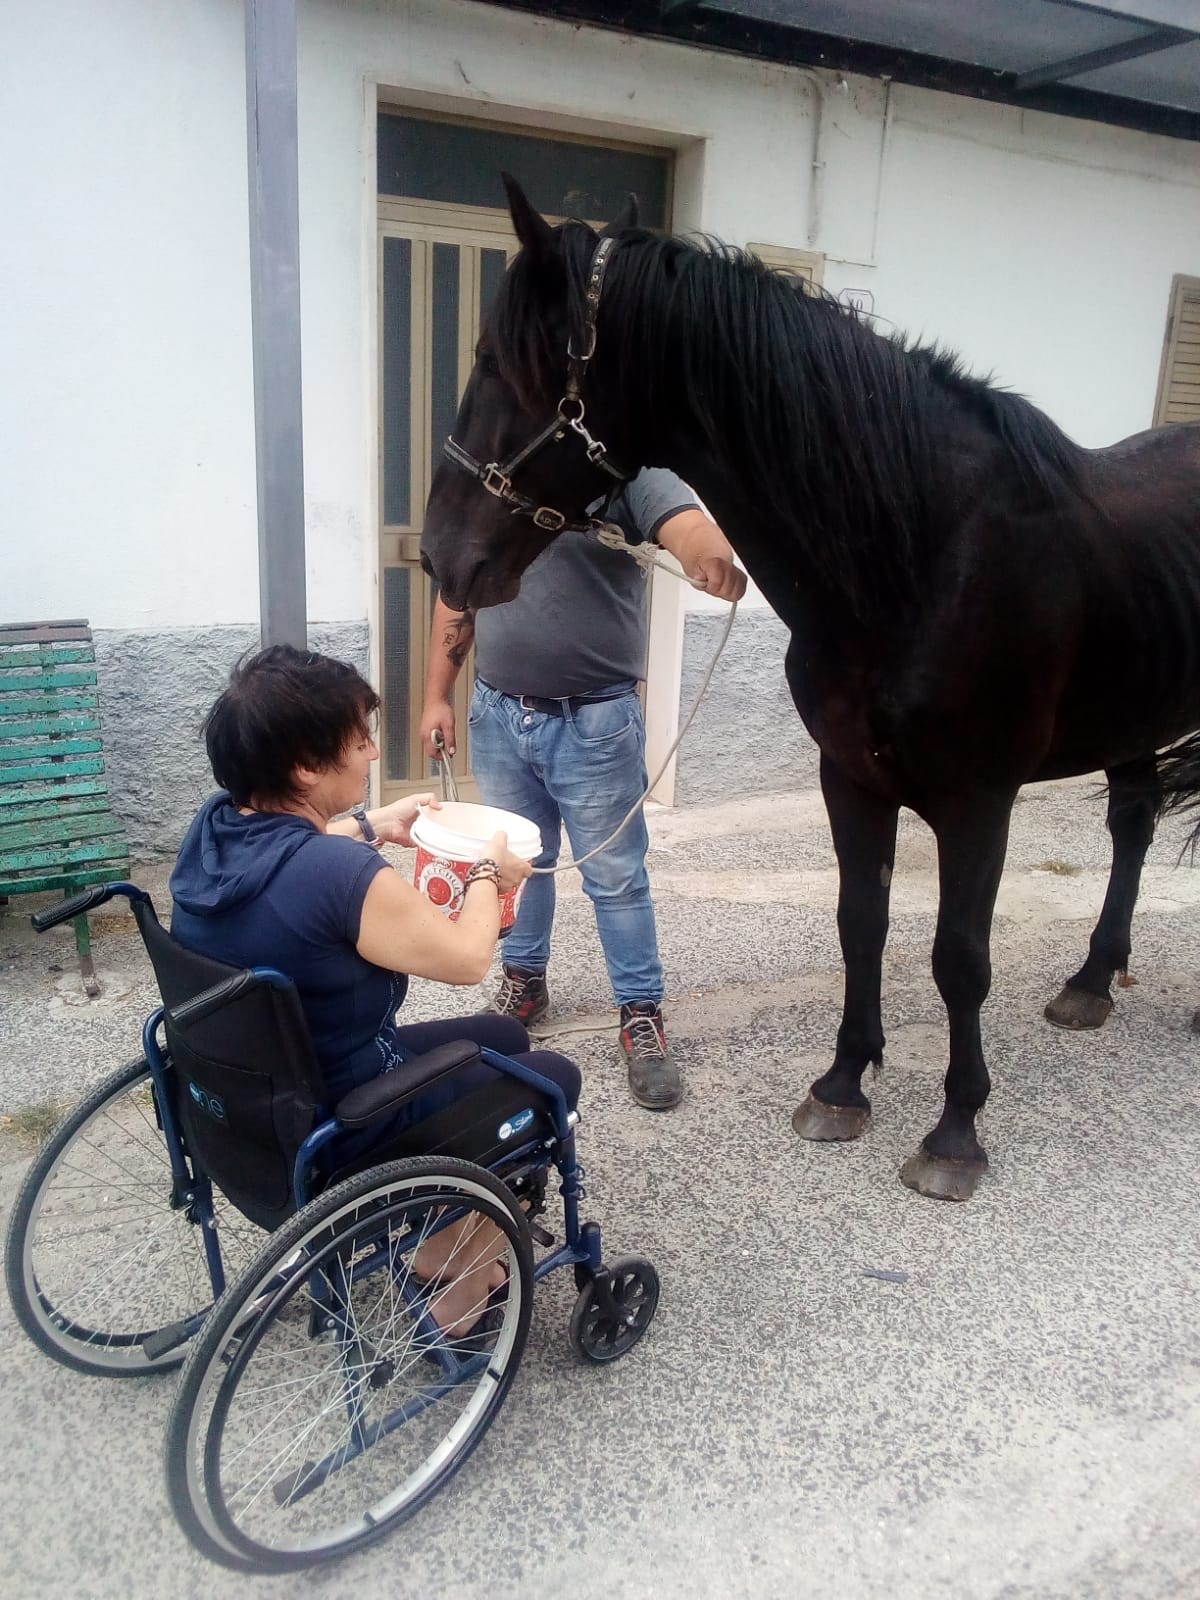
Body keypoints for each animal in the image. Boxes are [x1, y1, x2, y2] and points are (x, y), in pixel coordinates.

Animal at [419, 178, 1200, 1203]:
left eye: (496, 362)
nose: (440, 558)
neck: (925, 556)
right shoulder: (850, 779)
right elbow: (859, 925)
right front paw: (841, 1085)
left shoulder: (978, 802)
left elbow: (960, 959)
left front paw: (954, 1133)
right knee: (1134, 824)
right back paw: (1091, 982)